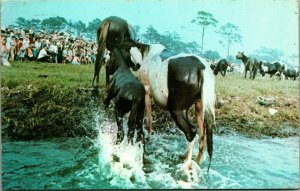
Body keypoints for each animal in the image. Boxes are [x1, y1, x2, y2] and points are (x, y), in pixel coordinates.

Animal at [124, 39, 216, 171]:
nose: (136, 65)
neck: (146, 53)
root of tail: (201, 67)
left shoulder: (146, 90)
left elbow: (149, 119)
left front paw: (149, 137)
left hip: (177, 109)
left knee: (191, 131)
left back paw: (186, 164)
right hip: (200, 106)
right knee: (202, 134)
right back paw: (195, 160)